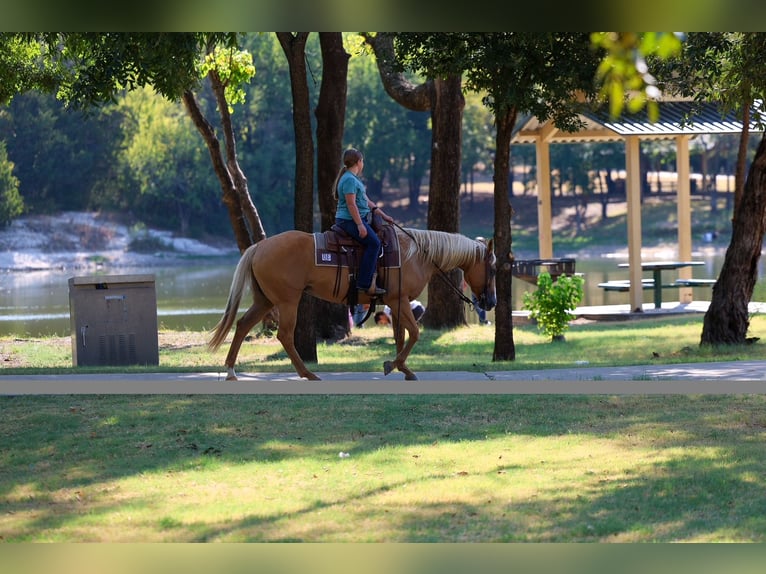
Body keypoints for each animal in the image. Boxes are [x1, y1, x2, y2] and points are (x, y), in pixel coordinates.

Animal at [208, 225, 496, 381]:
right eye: (492, 268)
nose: (491, 302)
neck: (417, 255)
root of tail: (259, 246)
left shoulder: (396, 302)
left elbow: (401, 336)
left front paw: (402, 368)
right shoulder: (400, 300)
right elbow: (414, 333)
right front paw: (394, 365)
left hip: (265, 300)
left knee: (242, 325)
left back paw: (231, 370)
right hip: (288, 301)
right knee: (285, 336)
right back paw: (307, 373)